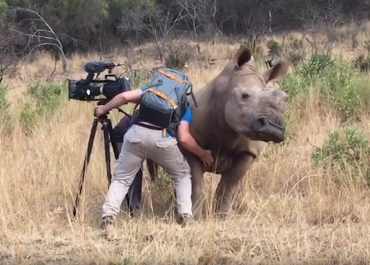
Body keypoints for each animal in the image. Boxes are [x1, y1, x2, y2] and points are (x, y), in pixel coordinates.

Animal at [115, 44, 290, 219]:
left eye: (284, 100)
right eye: (244, 95)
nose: (274, 127)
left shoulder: (248, 151)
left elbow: (228, 186)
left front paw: (221, 217)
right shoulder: (190, 148)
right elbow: (196, 184)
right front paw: (196, 218)